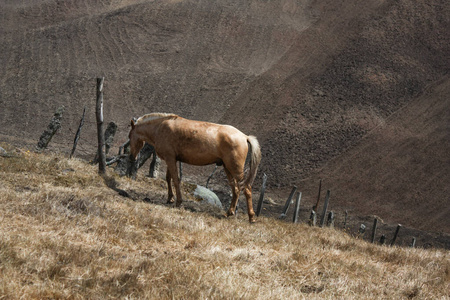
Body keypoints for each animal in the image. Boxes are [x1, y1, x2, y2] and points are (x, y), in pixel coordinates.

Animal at [126, 112, 262, 223]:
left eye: (129, 136)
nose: (131, 157)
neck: (160, 127)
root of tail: (245, 136)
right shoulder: (172, 159)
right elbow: (168, 178)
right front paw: (170, 198)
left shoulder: (170, 159)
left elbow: (175, 180)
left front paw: (178, 202)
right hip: (227, 168)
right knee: (236, 189)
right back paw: (229, 213)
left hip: (235, 169)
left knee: (246, 189)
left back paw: (251, 217)